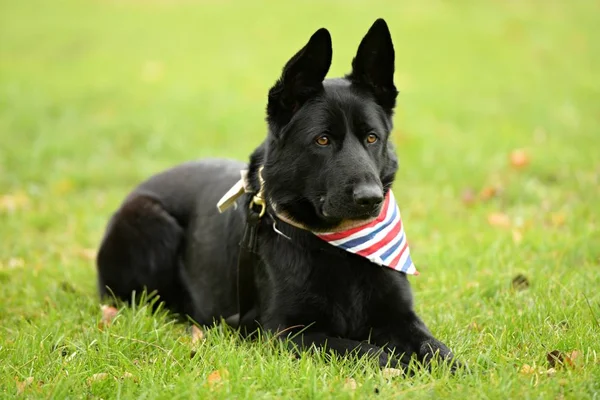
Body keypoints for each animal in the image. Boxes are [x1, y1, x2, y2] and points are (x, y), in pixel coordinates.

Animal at [96, 19, 458, 372]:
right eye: (322, 140)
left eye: (372, 137)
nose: (370, 199)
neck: (339, 247)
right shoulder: (287, 334)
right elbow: (369, 353)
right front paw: (398, 364)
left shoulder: (401, 317)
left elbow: (438, 350)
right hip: (154, 223)